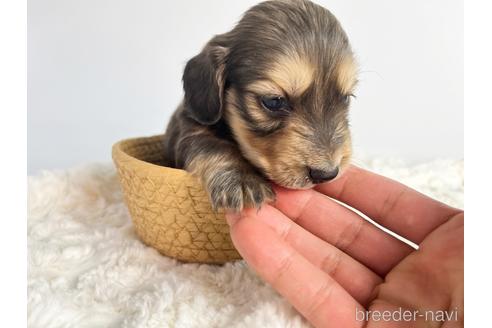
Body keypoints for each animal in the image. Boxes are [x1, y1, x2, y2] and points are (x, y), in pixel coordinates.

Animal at [163, 0, 356, 210]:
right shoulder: (189, 127)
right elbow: (212, 145)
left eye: (346, 98)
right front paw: (241, 178)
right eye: (273, 101)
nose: (327, 174)